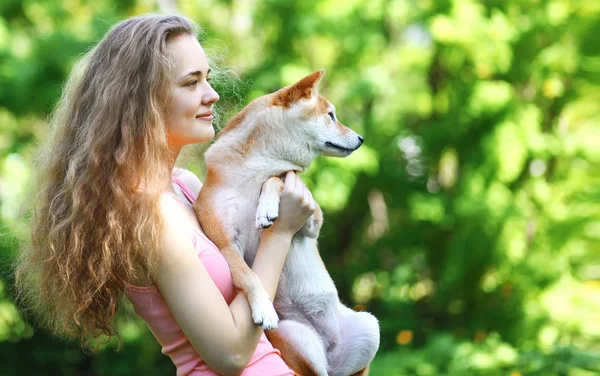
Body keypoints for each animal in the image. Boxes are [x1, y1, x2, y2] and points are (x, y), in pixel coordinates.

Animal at [195, 70, 378, 376]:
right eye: (331, 115)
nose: (362, 138)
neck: (255, 167)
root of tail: (329, 349)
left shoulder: (313, 217)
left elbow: (275, 179)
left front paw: (266, 208)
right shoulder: (224, 241)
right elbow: (248, 275)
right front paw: (263, 307)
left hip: (369, 327)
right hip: (293, 335)